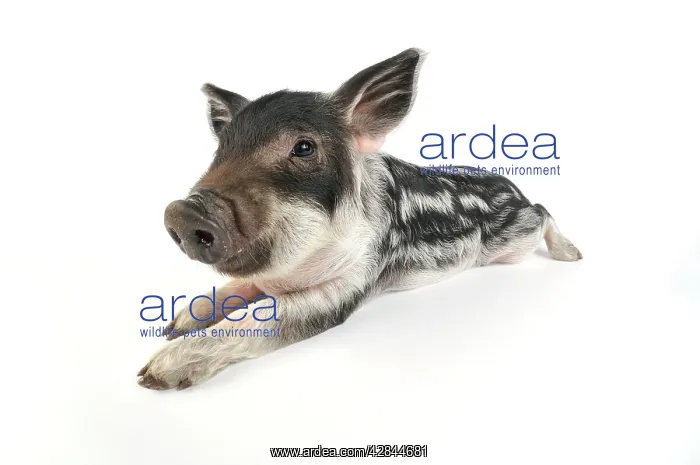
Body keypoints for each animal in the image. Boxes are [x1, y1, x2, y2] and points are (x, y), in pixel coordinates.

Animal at [137, 48, 582, 390]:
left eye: (303, 147)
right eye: (222, 148)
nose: (184, 211)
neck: (292, 271)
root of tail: (513, 188)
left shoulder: (351, 284)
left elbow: (258, 317)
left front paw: (152, 375)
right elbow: (234, 288)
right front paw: (174, 324)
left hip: (517, 239)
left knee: (544, 212)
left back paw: (573, 255)